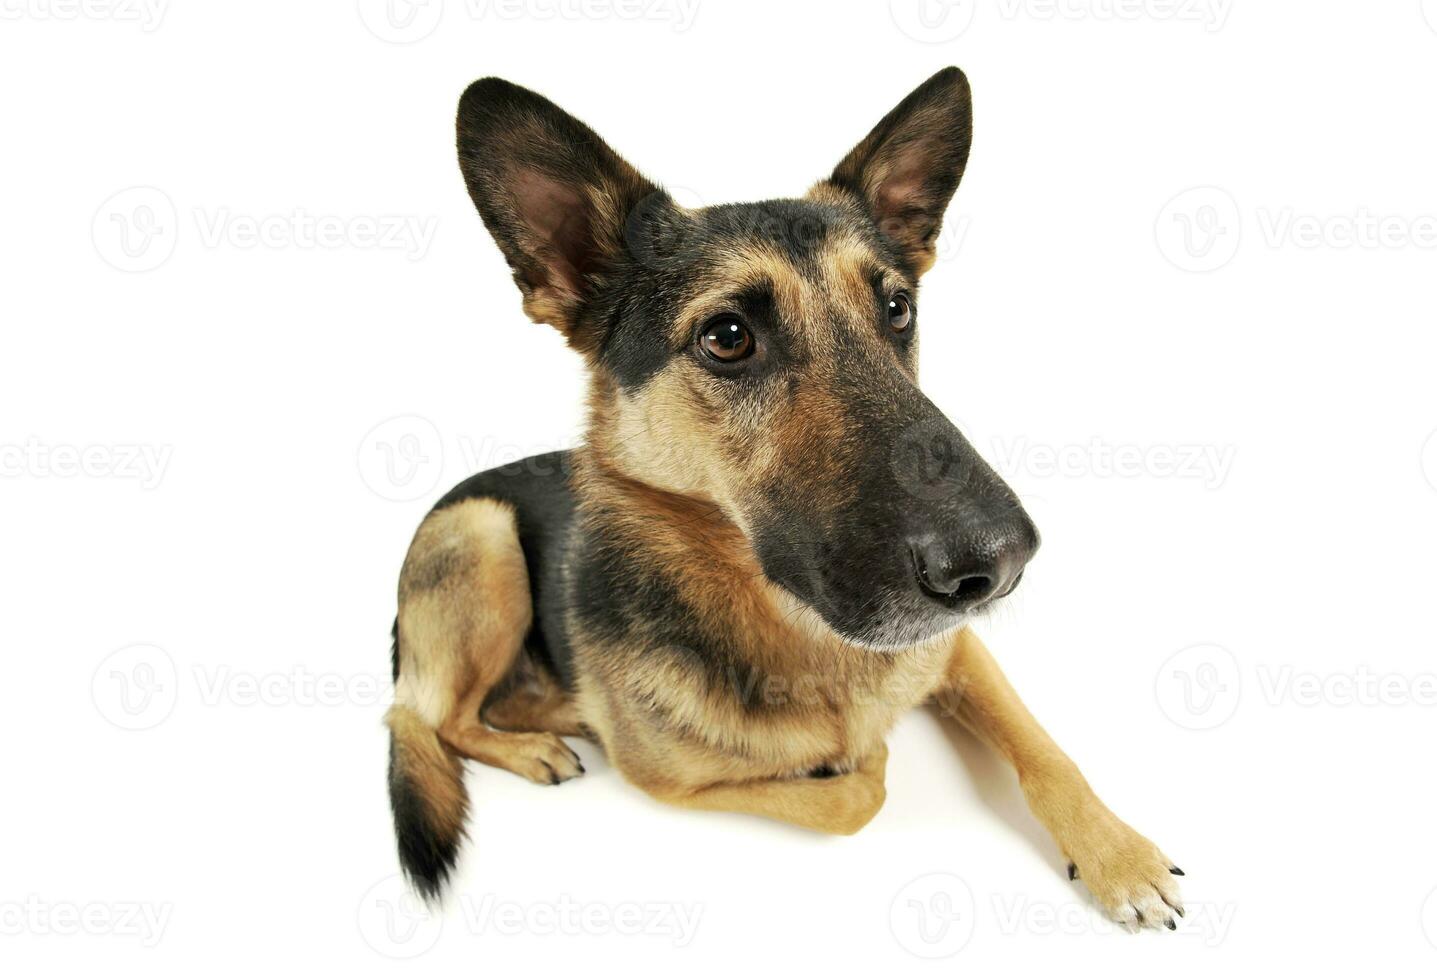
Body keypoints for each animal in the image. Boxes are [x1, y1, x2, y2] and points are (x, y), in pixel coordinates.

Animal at [387, 66, 1184, 925]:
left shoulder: (960, 649)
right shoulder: (670, 784)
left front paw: (1118, 856)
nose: (1000, 564)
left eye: (897, 309)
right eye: (727, 337)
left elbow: (1044, 749)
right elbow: (857, 793)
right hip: (480, 533)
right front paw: (861, 754)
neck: (799, 635)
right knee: (431, 715)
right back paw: (539, 735)